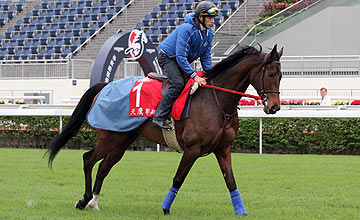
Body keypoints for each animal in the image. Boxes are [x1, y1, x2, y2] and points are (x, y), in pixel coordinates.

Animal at [47, 44, 284, 215]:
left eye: (281, 75)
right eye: (271, 74)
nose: (274, 107)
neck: (218, 101)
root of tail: (105, 85)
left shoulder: (223, 148)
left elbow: (230, 181)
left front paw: (241, 211)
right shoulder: (192, 149)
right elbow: (178, 178)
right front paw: (165, 208)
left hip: (122, 140)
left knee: (104, 167)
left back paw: (94, 202)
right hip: (109, 138)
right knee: (88, 159)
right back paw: (84, 200)